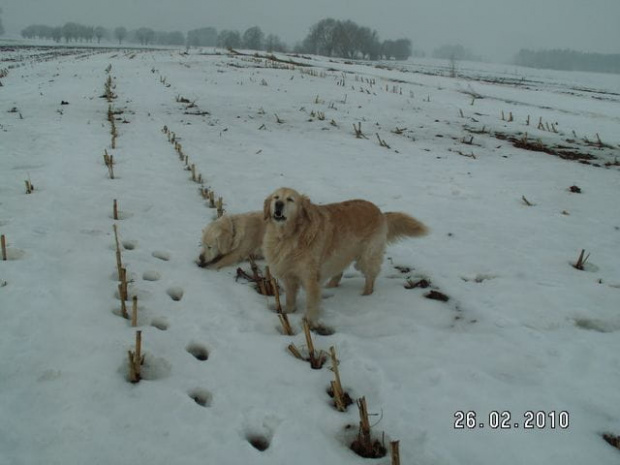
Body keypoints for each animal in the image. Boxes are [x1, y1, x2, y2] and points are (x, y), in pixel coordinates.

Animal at [260, 188, 426, 326]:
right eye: (276, 197)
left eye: (290, 199)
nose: (278, 204)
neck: (290, 235)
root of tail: (380, 212)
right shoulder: (288, 274)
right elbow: (290, 297)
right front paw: (287, 312)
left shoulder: (311, 277)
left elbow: (312, 302)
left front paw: (310, 321)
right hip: (340, 253)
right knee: (339, 272)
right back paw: (331, 285)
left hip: (366, 257)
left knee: (370, 278)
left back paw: (365, 295)